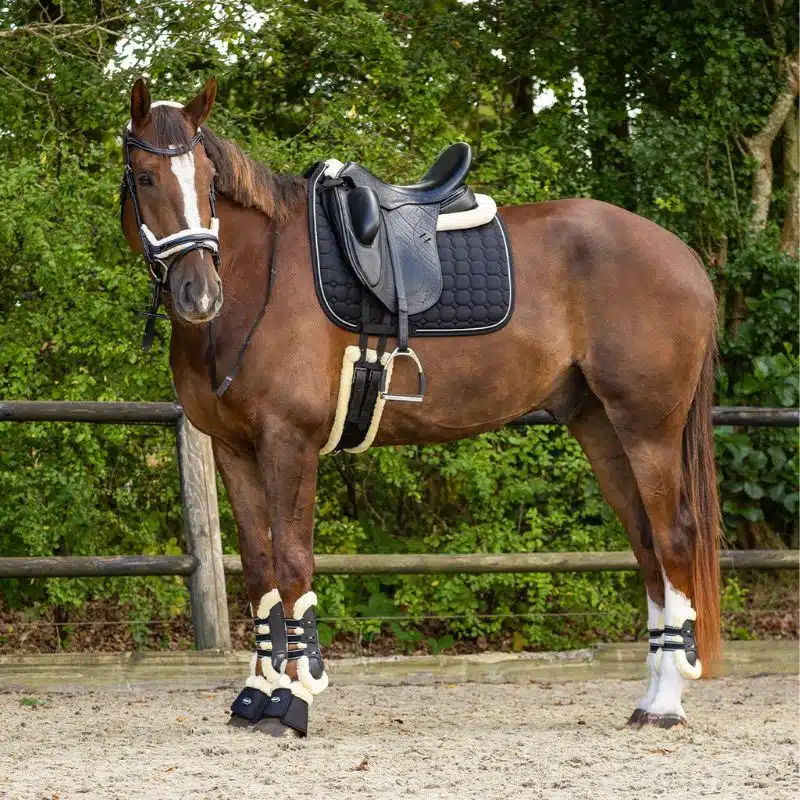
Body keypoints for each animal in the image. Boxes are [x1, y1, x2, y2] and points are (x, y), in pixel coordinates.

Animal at [120, 76, 721, 737]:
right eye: (145, 177)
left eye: (207, 179)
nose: (199, 293)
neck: (260, 281)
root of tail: (682, 256)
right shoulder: (234, 448)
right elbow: (259, 569)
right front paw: (256, 695)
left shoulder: (289, 442)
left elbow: (293, 562)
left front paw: (293, 701)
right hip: (601, 427)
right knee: (646, 544)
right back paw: (651, 696)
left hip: (647, 428)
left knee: (673, 538)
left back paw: (666, 703)